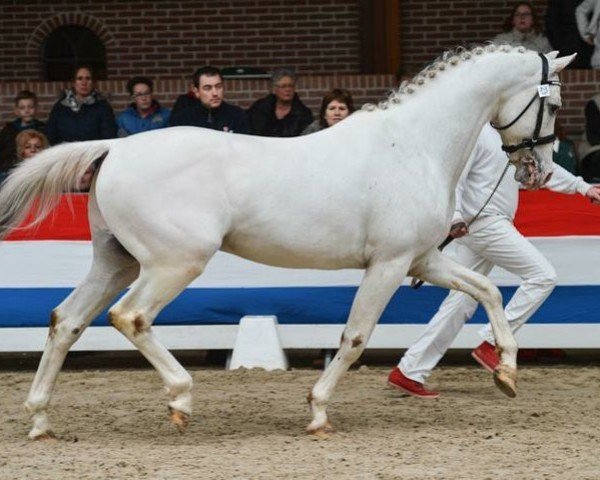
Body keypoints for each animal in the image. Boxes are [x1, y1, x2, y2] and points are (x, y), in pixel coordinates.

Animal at [0, 45, 572, 438]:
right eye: (554, 105)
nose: (539, 171)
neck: (412, 145)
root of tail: (114, 148)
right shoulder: (388, 265)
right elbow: (355, 338)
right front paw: (318, 411)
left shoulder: (424, 260)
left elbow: (487, 290)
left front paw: (506, 372)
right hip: (173, 264)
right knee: (129, 317)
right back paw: (180, 400)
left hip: (114, 260)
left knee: (67, 321)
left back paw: (40, 420)